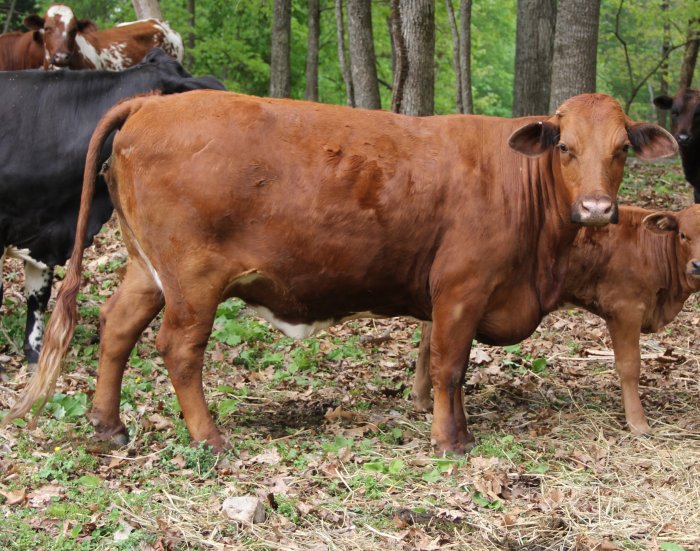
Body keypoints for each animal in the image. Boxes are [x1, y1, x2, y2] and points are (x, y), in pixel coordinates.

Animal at [410, 205, 700, 434]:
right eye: (683, 235)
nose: (697, 265)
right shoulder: (624, 309)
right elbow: (630, 366)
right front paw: (638, 424)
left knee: (428, 341)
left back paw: (422, 400)